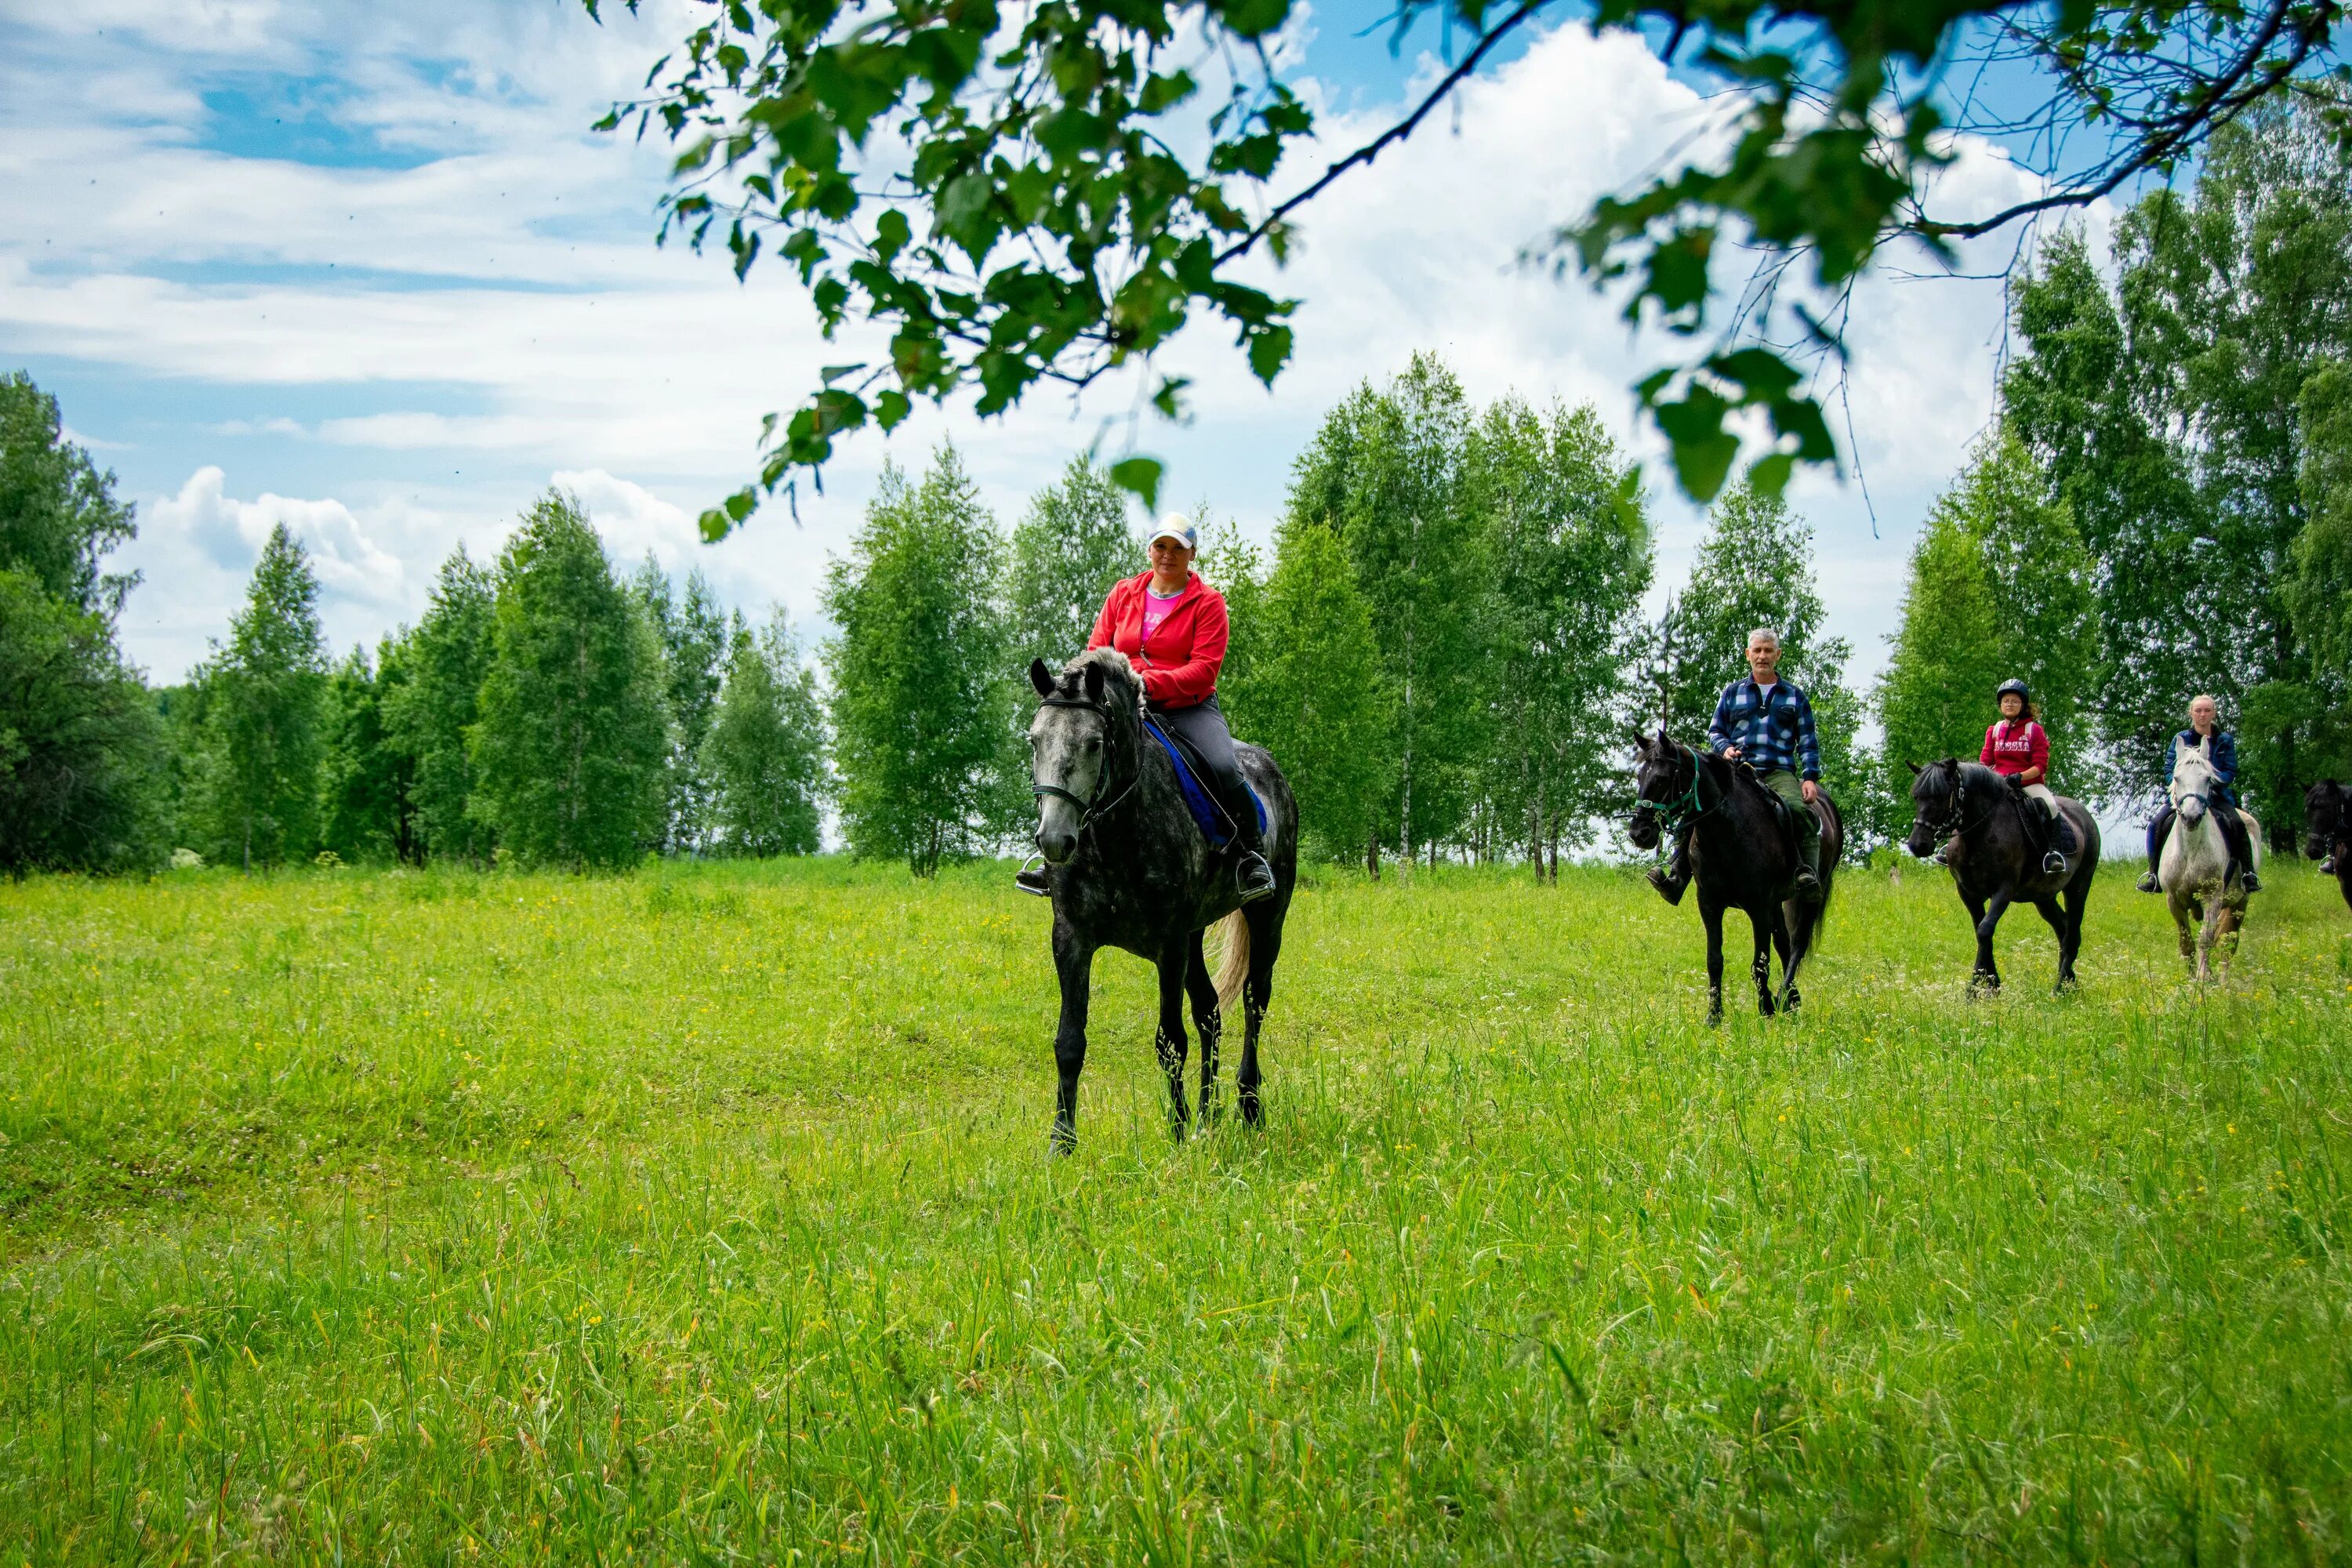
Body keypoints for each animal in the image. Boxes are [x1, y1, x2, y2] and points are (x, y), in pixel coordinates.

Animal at [1025, 648, 1308, 1152]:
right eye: (1035, 741)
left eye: (1094, 744)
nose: (1055, 841)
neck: (1115, 833)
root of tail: (1271, 769)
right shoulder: (1072, 939)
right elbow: (1070, 1041)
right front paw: (1062, 1142)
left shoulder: (1169, 945)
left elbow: (1170, 1040)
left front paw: (1176, 1131)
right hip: (1196, 936)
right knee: (1210, 1013)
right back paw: (1207, 1119)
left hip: (1265, 920)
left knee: (1253, 1002)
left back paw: (1247, 1107)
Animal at [1637, 728, 1835, 1025]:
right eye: (1639, 776)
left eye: (1662, 778)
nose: (1639, 833)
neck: (1727, 831)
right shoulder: (1709, 903)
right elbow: (1714, 960)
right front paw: (1714, 1016)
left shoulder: (1759, 907)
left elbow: (1759, 964)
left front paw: (1766, 1009)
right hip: (1777, 903)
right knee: (1784, 943)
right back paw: (1791, 1000)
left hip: (1807, 898)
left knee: (1797, 945)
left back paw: (1784, 996)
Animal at [1900, 761, 2107, 992]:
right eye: (1917, 797)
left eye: (1943, 796)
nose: (1918, 845)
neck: (1980, 833)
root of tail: (2083, 816)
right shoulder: (1967, 892)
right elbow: (1980, 931)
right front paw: (1990, 983)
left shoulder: (2004, 890)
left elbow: (1985, 930)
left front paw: (1976, 988)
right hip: (2043, 896)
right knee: (2063, 927)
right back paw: (2071, 983)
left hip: (2079, 885)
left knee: (2072, 933)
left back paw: (2060, 987)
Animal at [2154, 747, 2267, 982]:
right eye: (2177, 778)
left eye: (2208, 779)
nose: (2191, 817)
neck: (2191, 849)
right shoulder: (2173, 900)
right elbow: (2186, 941)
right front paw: (2190, 980)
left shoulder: (2212, 897)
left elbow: (2206, 938)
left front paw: (2201, 978)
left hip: (2240, 903)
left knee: (2228, 941)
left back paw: (2223, 981)